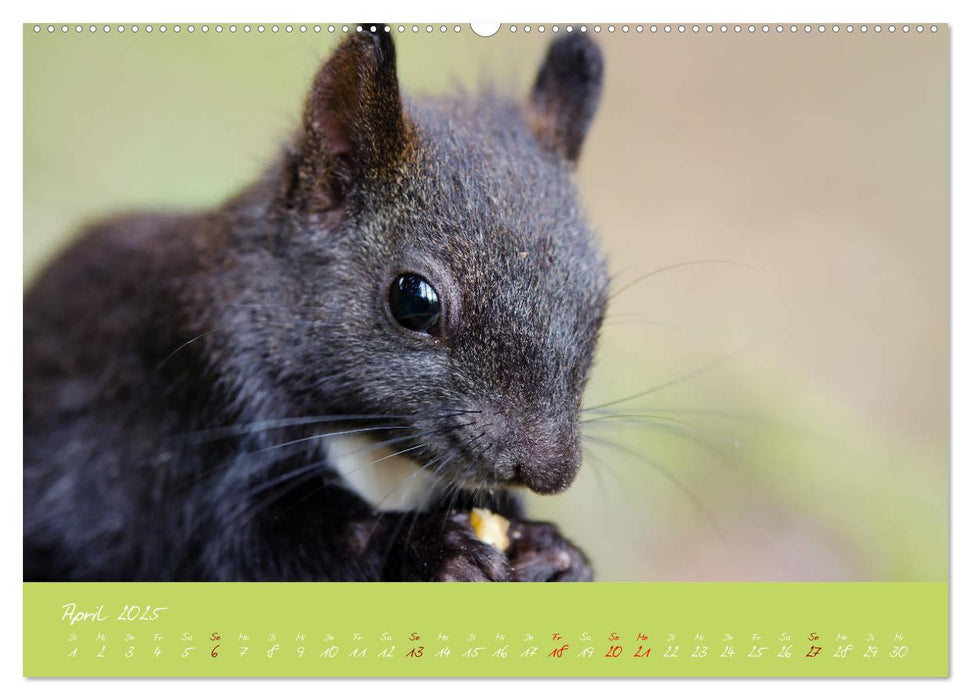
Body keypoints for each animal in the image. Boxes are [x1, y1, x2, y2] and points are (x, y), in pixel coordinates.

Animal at [24, 27, 608, 584]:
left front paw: (557, 552)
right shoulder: (202, 413)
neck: (374, 445)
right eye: (413, 301)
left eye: (598, 301)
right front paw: (435, 548)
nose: (549, 473)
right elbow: (262, 545)